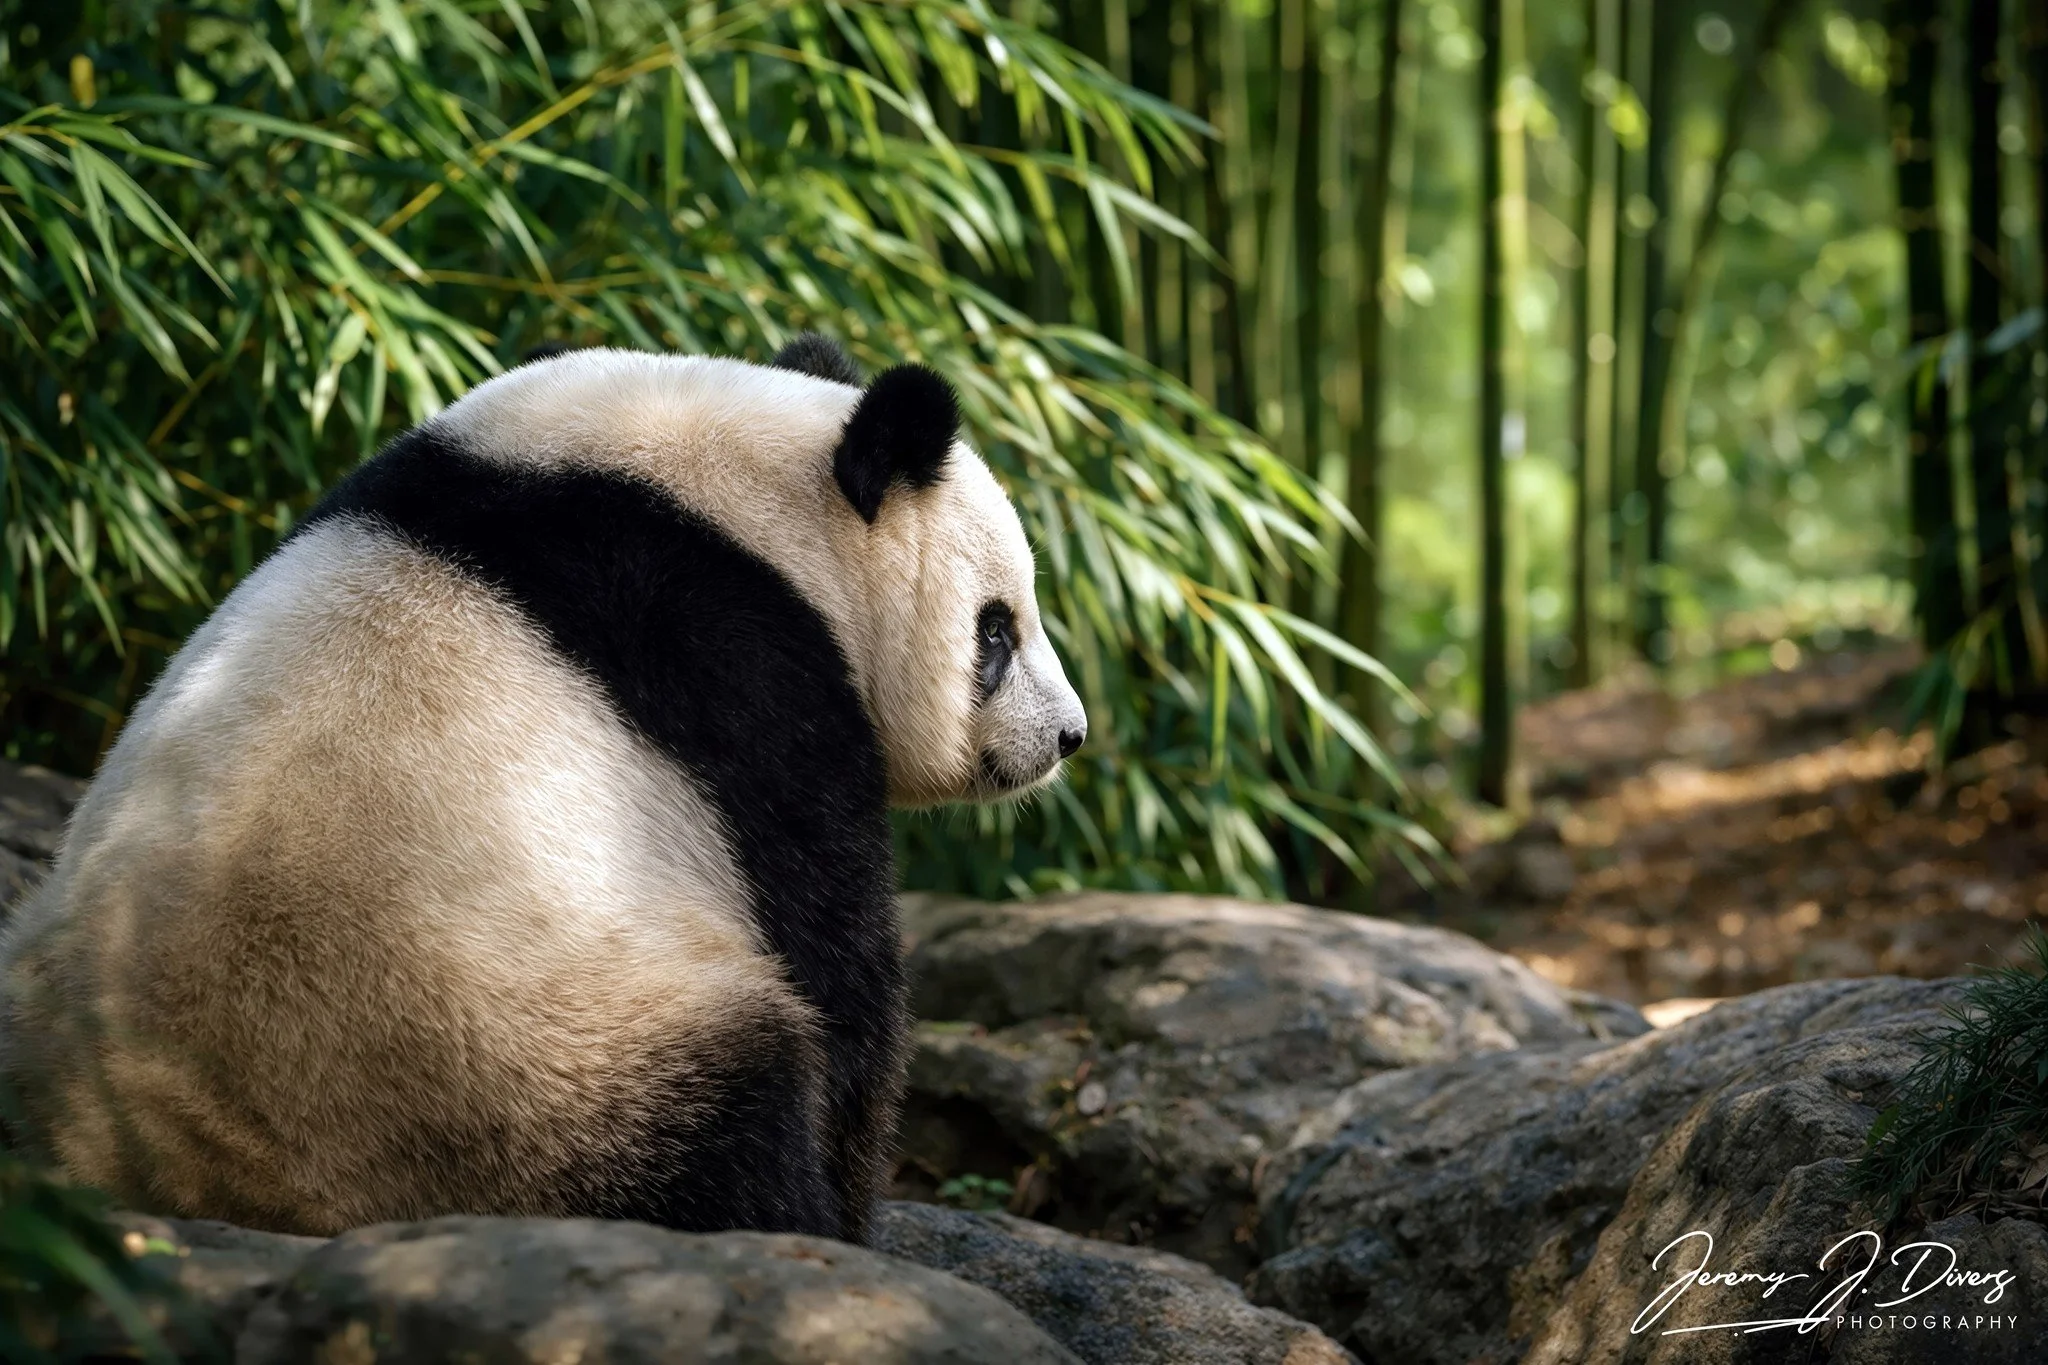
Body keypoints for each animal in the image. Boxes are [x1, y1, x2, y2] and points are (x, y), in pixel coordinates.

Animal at [0, 336, 1086, 1244]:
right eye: (996, 630)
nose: (1067, 735)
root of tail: (181, 1174)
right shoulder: (745, 678)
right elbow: (836, 965)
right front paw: (853, 1225)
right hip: (509, 1060)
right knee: (720, 1123)